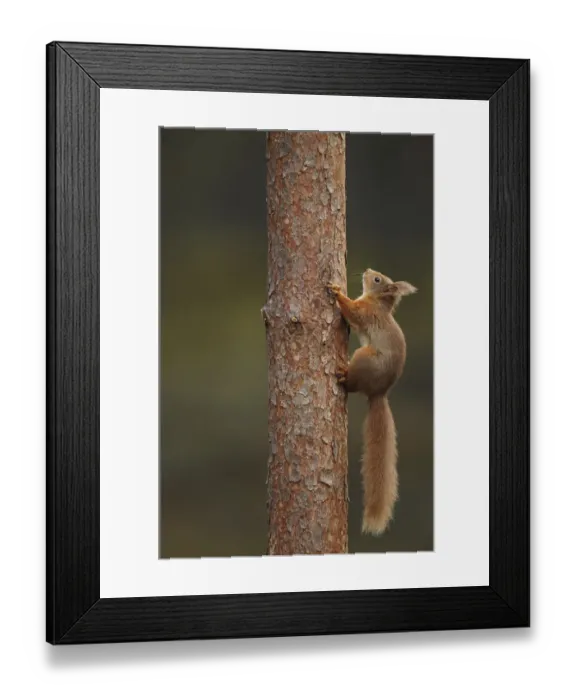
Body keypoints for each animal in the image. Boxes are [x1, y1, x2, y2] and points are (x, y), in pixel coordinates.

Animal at [326, 269, 417, 536]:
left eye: (378, 280)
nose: (367, 271)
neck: (376, 302)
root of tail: (379, 393)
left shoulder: (365, 312)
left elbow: (352, 311)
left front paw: (337, 292)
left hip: (363, 356)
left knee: (352, 385)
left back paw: (343, 374)